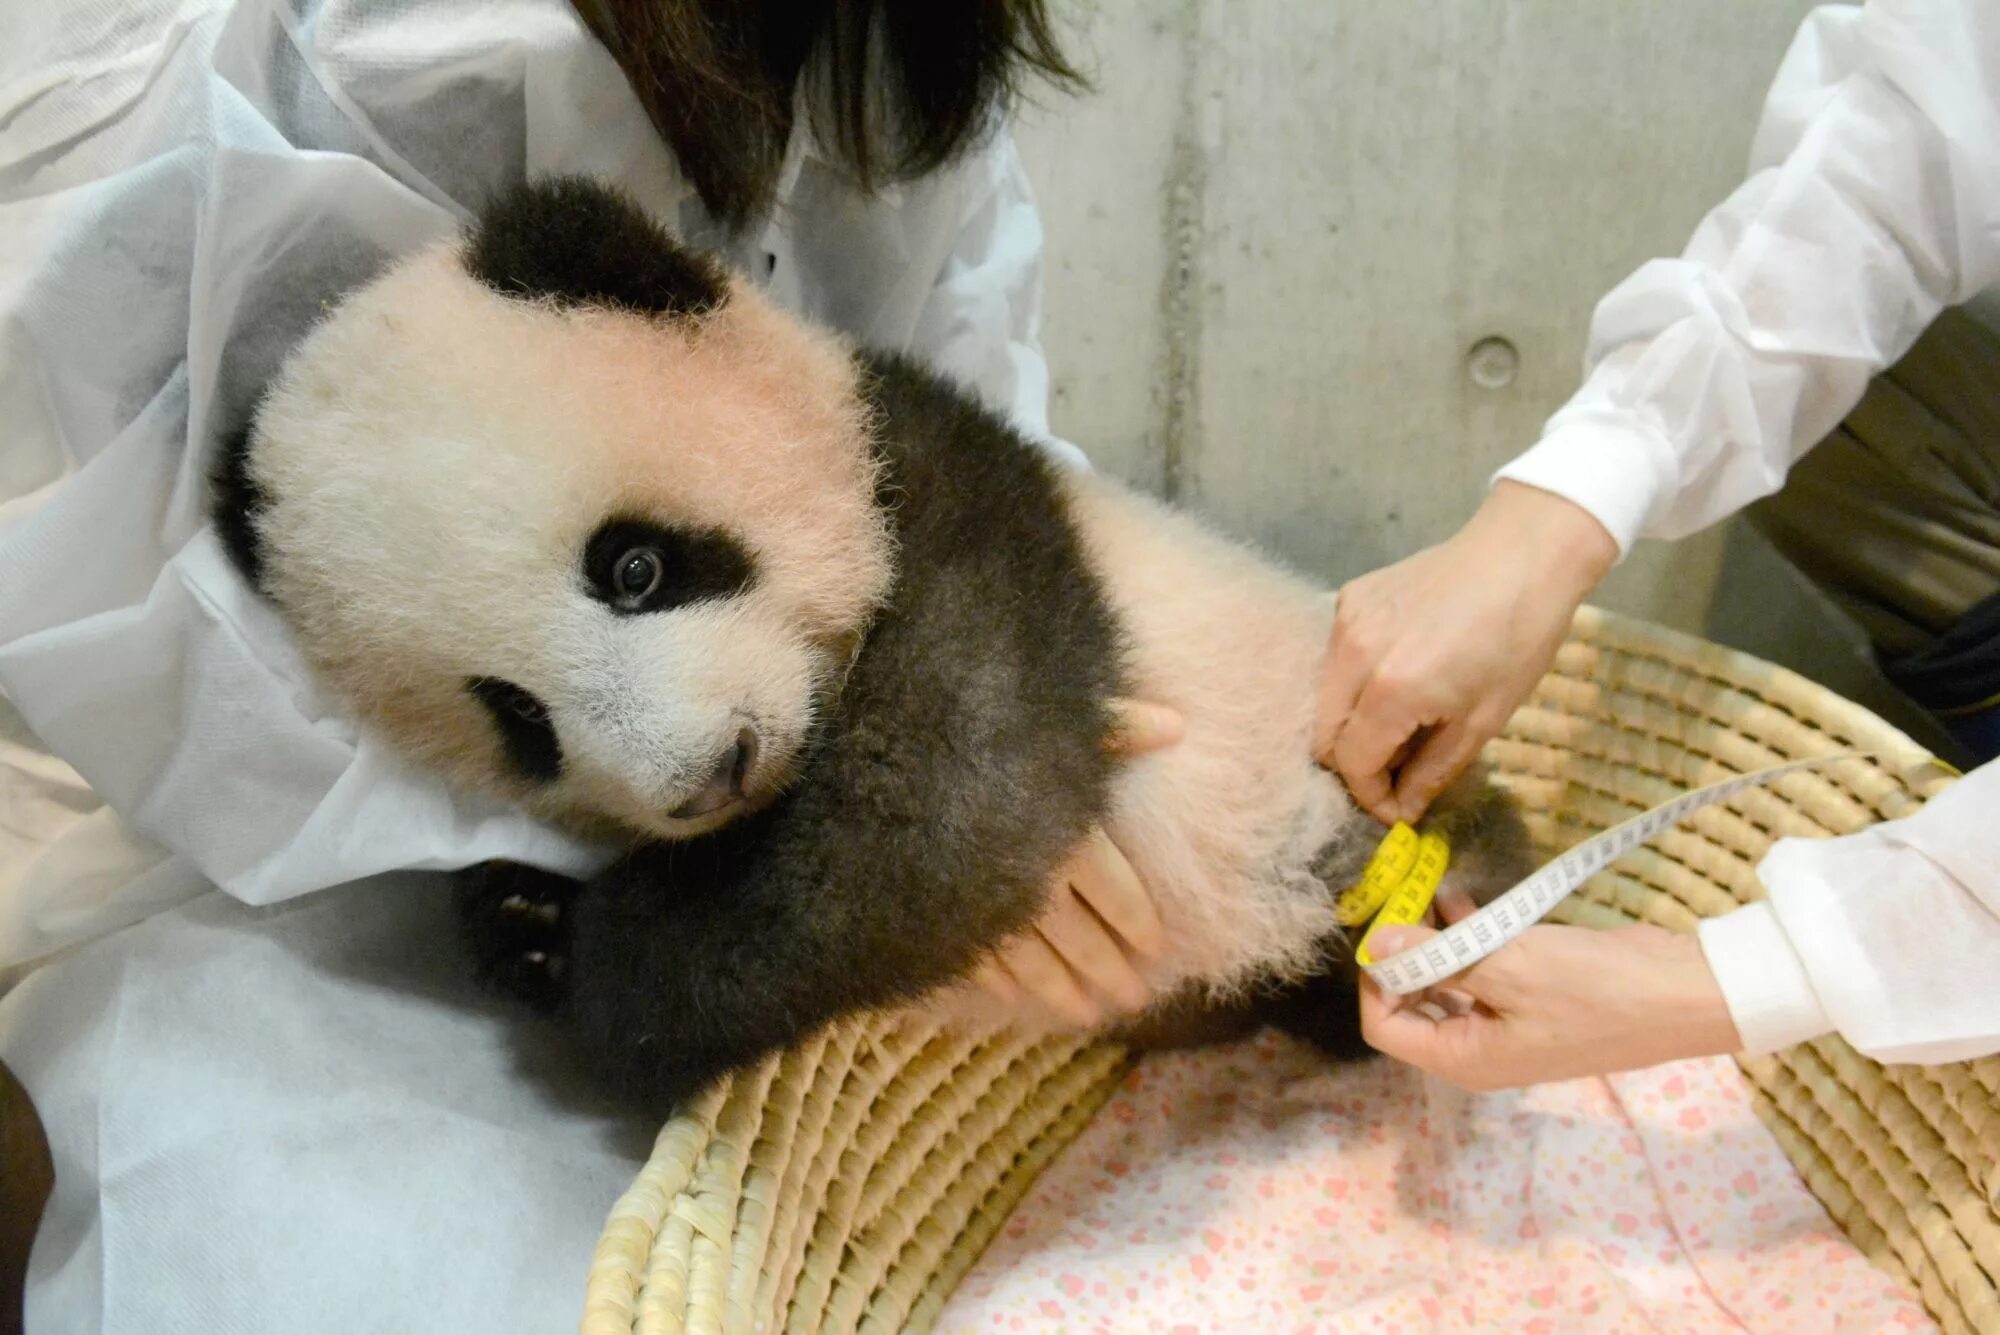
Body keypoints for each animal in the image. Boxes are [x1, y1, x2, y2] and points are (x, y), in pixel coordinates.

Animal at [211, 176, 1533, 1113]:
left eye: (634, 567)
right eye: (516, 717)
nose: (705, 779)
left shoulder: (965, 506)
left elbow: (949, 814)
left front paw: (587, 958)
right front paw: (519, 917)